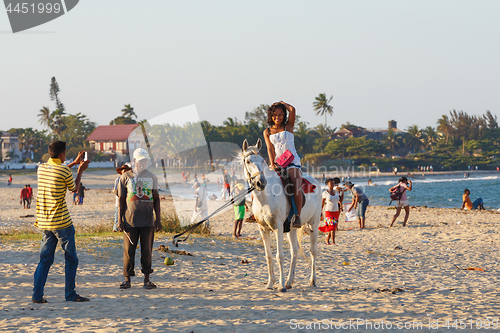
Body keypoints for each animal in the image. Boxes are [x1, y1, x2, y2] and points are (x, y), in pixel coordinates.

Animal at [243, 137, 322, 290]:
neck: (266, 197)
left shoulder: (278, 227)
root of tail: (315, 181)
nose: (261, 182)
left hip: (313, 225)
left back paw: (312, 280)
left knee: (313, 252)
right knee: (294, 251)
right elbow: (268, 256)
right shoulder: (263, 229)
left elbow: (279, 256)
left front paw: (280, 286)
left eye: (262, 160)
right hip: (292, 228)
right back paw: (290, 281)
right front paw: (270, 284)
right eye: (248, 161)